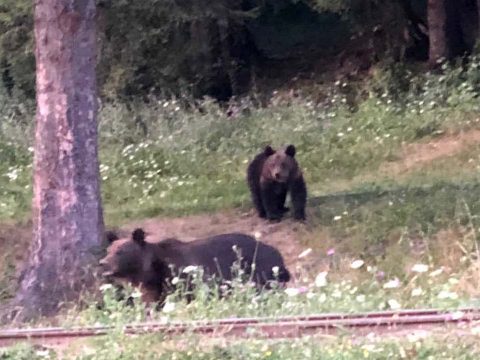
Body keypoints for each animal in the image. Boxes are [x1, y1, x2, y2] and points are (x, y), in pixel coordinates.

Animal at [99, 229, 290, 306]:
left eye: (120, 251)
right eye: (109, 250)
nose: (102, 263)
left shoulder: (182, 278)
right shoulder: (152, 289)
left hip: (260, 272)